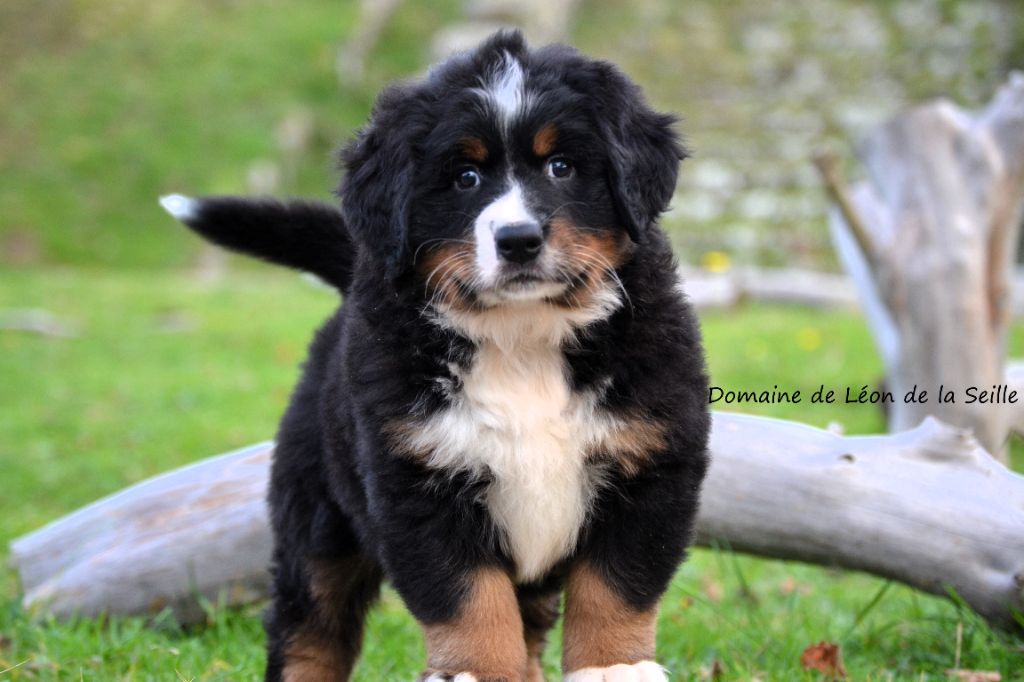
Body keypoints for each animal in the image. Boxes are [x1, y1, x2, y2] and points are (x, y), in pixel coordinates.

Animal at [159, 29, 708, 679]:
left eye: (562, 167)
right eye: (465, 177)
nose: (518, 240)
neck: (523, 337)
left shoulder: (650, 464)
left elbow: (615, 585)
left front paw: (611, 667)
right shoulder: (417, 480)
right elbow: (469, 596)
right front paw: (476, 671)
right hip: (317, 521)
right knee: (309, 628)